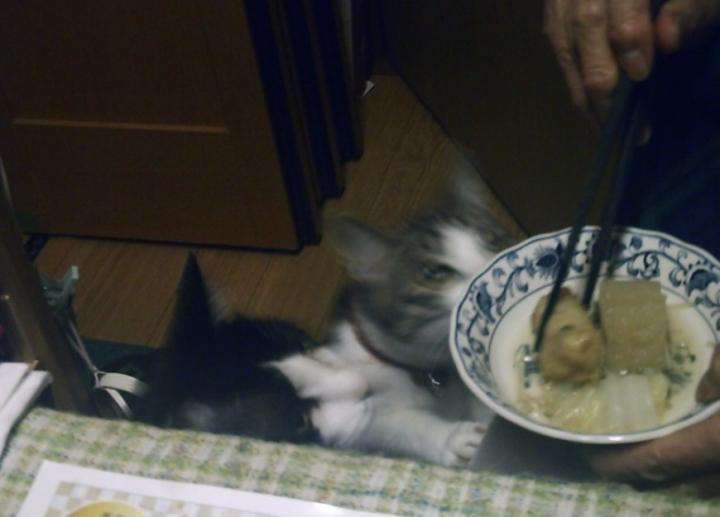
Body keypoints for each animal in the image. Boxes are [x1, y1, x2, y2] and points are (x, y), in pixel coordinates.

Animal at [137, 164, 517, 467]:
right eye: (434, 273)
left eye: (494, 240)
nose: (494, 275)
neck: (432, 373)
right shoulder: (366, 418)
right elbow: (394, 426)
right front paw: (452, 438)